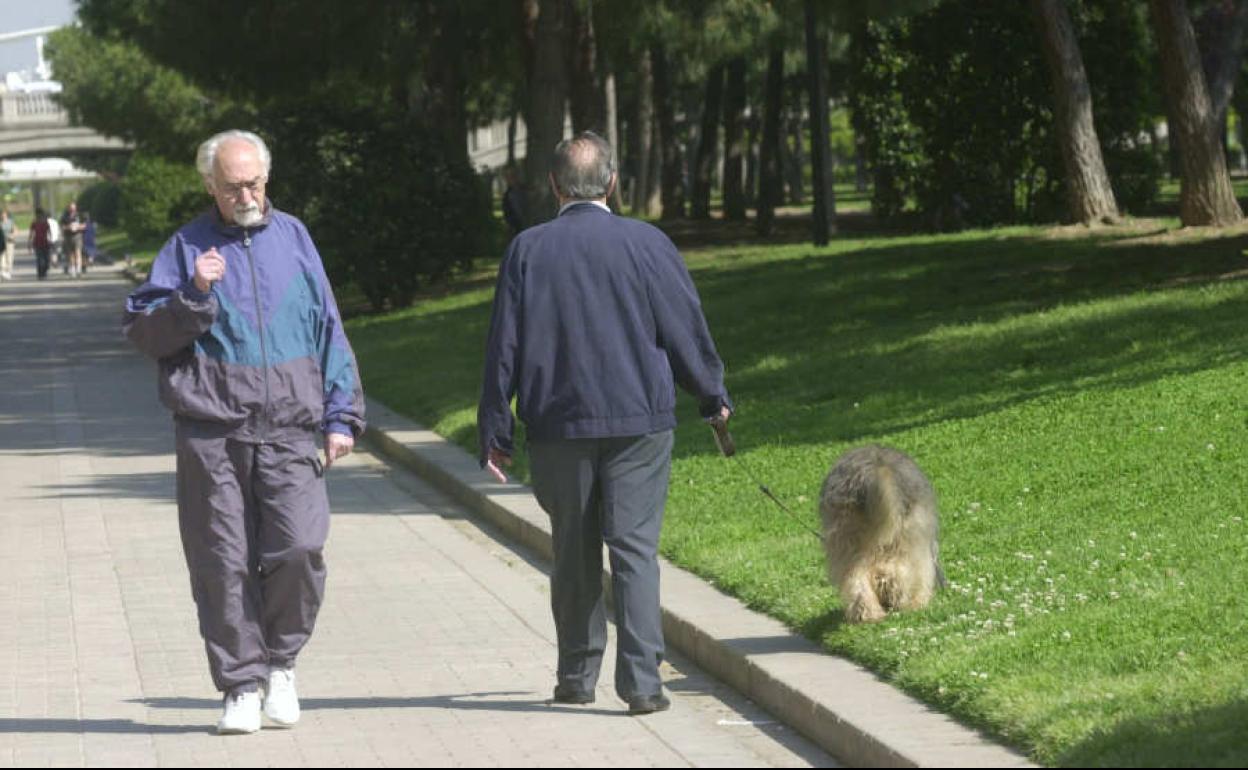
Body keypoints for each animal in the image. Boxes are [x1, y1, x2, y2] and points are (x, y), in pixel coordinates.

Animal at [818, 446, 943, 621]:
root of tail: (875, 467)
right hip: (909, 533)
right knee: (895, 570)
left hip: (845, 533)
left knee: (856, 576)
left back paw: (869, 612)